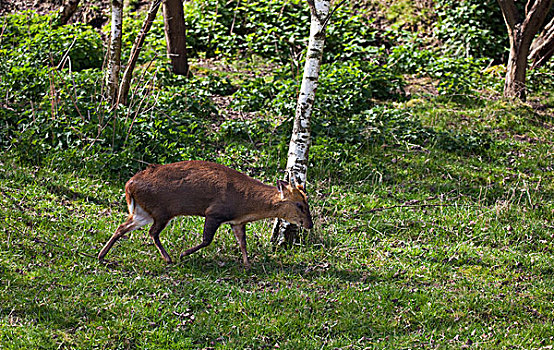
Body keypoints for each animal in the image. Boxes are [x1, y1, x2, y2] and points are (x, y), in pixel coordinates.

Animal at [96, 161, 310, 268]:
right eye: (299, 204)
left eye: (307, 201)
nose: (309, 224)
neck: (244, 202)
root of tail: (129, 186)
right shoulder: (214, 212)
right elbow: (207, 240)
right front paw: (184, 253)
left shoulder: (236, 222)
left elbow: (242, 242)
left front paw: (248, 264)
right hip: (162, 210)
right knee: (152, 232)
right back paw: (168, 258)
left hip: (143, 212)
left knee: (122, 227)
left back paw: (101, 256)